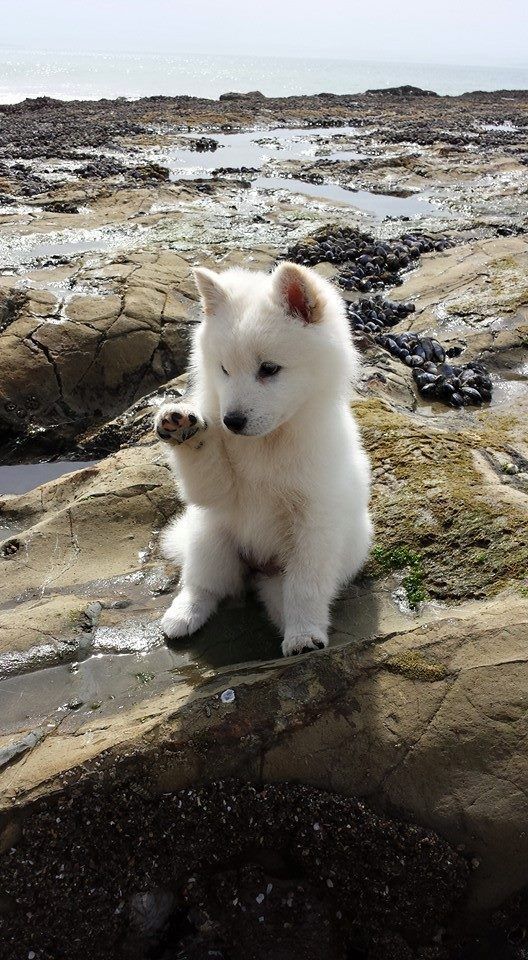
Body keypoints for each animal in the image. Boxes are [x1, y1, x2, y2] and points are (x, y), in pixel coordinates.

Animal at [155, 258, 374, 656]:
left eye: (269, 369)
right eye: (224, 369)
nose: (231, 421)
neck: (268, 442)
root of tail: (258, 570)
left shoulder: (314, 522)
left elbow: (306, 586)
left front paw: (304, 635)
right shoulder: (221, 492)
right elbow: (207, 479)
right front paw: (182, 424)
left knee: (278, 596)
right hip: (210, 535)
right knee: (204, 584)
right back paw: (183, 615)